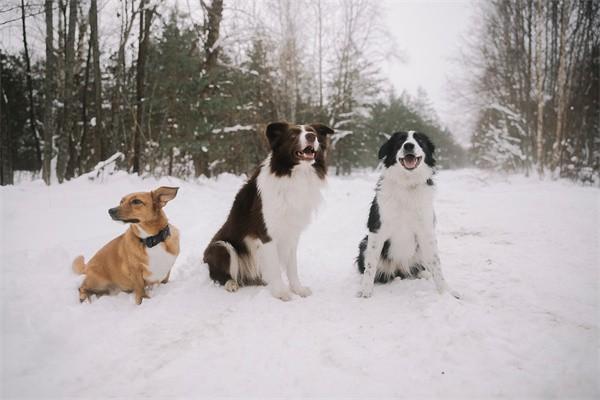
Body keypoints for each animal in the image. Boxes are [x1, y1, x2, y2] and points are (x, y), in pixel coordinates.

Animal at [204, 122, 336, 300]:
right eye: (293, 135)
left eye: (312, 132)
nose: (311, 137)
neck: (295, 175)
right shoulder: (266, 234)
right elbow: (274, 266)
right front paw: (281, 292)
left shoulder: (292, 233)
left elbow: (292, 266)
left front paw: (298, 289)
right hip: (221, 247)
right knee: (219, 274)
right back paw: (231, 283)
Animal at [354, 130, 458, 298]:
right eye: (400, 141)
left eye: (420, 140)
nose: (409, 145)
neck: (407, 184)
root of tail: (399, 269)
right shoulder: (377, 230)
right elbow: (371, 265)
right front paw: (365, 290)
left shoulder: (426, 231)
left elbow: (436, 264)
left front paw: (446, 292)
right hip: (364, 243)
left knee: (420, 267)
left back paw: (424, 273)